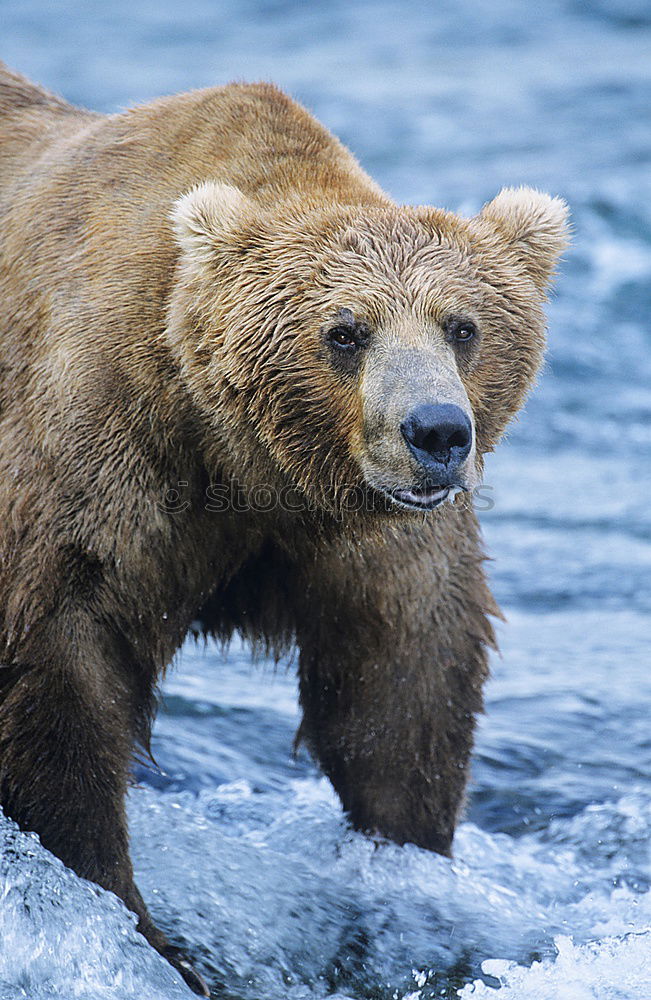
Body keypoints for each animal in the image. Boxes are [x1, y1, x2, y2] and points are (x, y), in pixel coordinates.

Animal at [0, 62, 572, 992]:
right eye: (344, 332)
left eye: (463, 326)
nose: (437, 433)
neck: (251, 464)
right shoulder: (98, 464)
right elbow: (60, 681)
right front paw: (137, 930)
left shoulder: (367, 535)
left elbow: (403, 681)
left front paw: (409, 885)